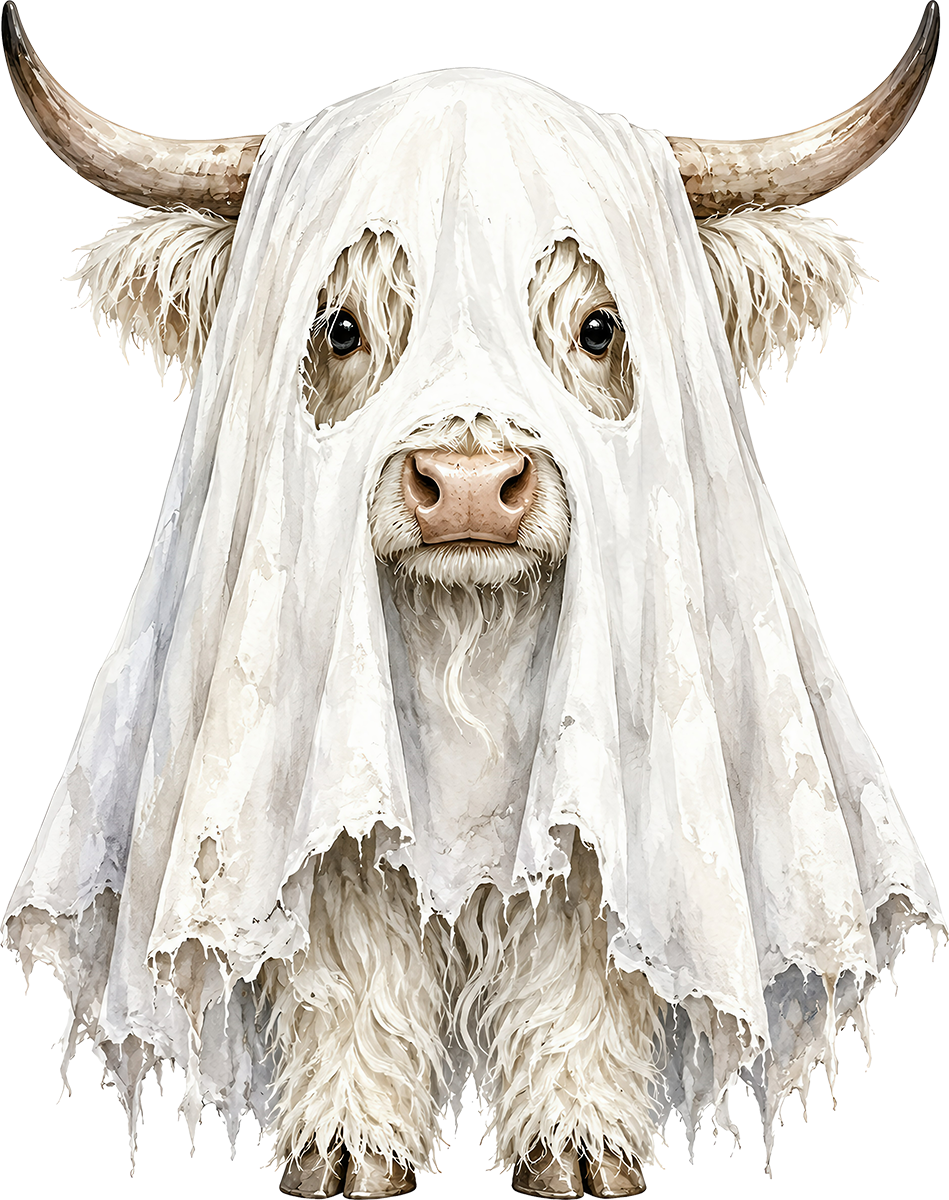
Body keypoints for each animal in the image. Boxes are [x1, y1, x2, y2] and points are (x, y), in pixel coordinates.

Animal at [2, 4, 945, 1199]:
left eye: (597, 329)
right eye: (340, 327)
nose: (465, 485)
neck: (469, 656)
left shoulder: (600, 817)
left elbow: (585, 954)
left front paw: (581, 1147)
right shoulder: (333, 814)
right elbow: (348, 962)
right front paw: (346, 1149)